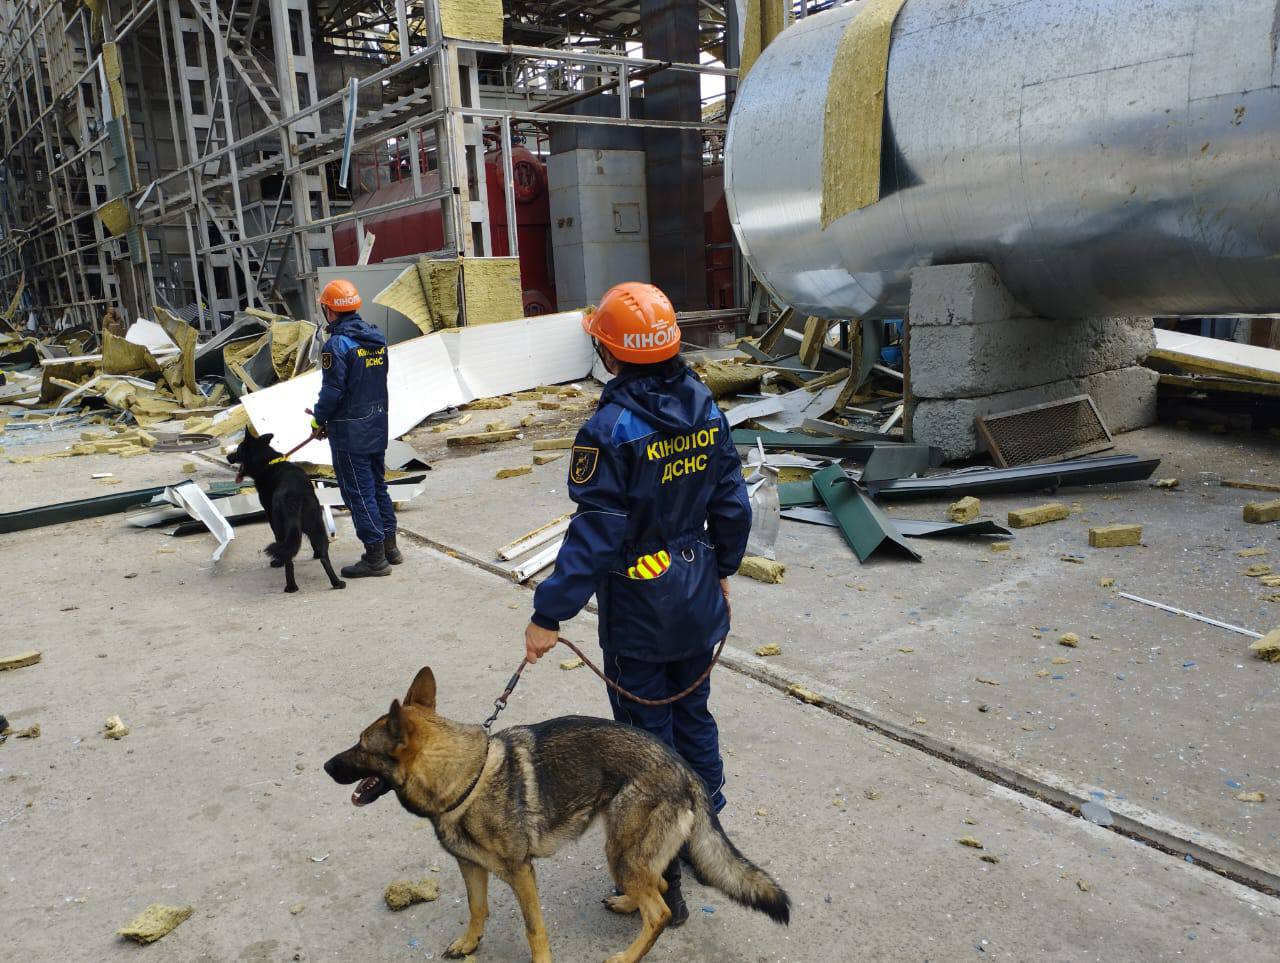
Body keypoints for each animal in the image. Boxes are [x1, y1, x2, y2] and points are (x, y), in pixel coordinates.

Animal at [225, 432, 345, 591]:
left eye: (238, 450)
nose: (228, 457)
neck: (268, 462)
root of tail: (295, 497)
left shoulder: (270, 516)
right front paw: (315, 554)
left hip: (282, 528)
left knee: (289, 560)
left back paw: (290, 586)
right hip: (317, 525)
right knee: (324, 556)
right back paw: (336, 582)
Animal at [325, 671, 783, 962]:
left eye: (362, 746)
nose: (326, 766)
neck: (463, 777)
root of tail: (686, 771)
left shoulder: (521, 873)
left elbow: (534, 928)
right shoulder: (471, 867)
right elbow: (477, 910)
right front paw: (469, 944)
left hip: (620, 851)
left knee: (660, 911)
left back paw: (626, 956)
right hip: (627, 853)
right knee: (656, 887)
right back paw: (626, 904)